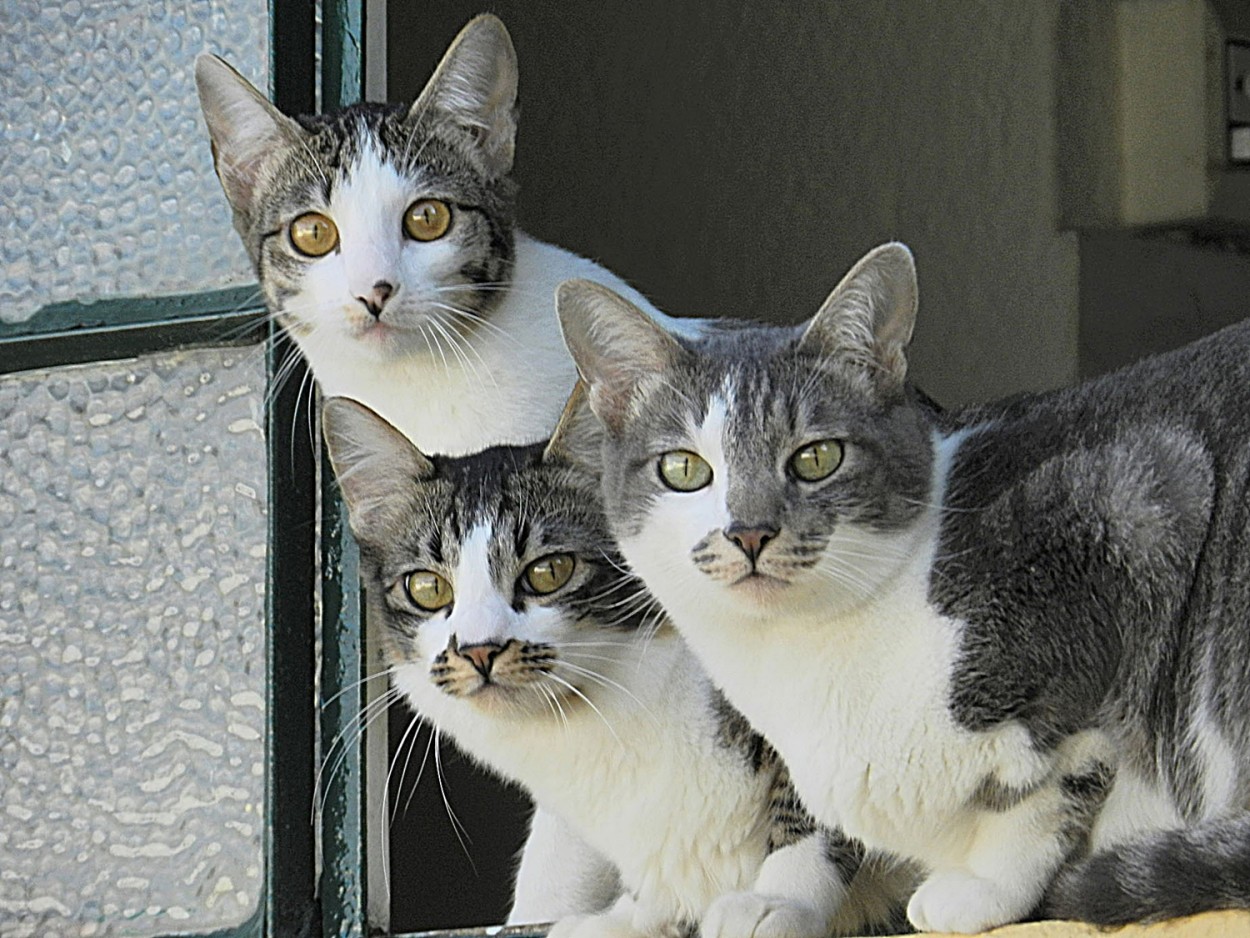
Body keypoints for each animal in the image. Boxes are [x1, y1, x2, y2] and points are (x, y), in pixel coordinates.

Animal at [557, 246, 1250, 935]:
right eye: (683, 469)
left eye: (817, 458)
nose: (749, 532)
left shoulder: (1131, 509)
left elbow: (1049, 781)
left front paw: (983, 886)